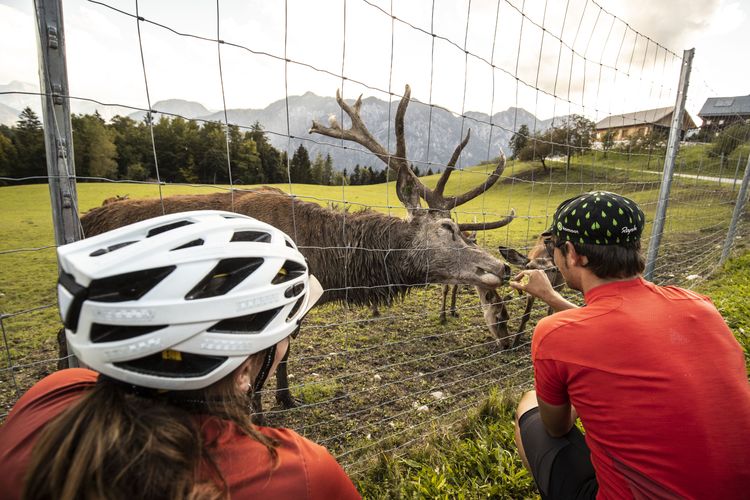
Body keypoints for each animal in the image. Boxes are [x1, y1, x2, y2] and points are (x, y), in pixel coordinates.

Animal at [79, 85, 520, 414]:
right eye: (447, 228)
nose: (501, 267)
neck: (317, 260)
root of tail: (84, 220)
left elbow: (285, 358)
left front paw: (287, 399)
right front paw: (258, 416)